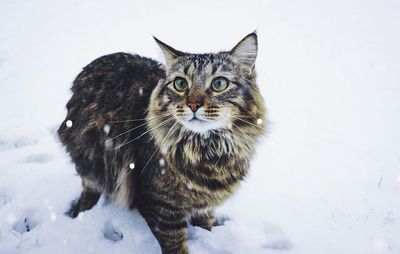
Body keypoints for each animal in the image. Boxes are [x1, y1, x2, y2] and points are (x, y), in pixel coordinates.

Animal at [57, 32, 266, 254]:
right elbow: (176, 245)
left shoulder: (205, 204)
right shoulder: (161, 208)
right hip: (92, 162)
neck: (207, 150)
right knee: (90, 189)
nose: (193, 104)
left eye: (219, 84)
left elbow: (205, 223)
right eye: (180, 84)